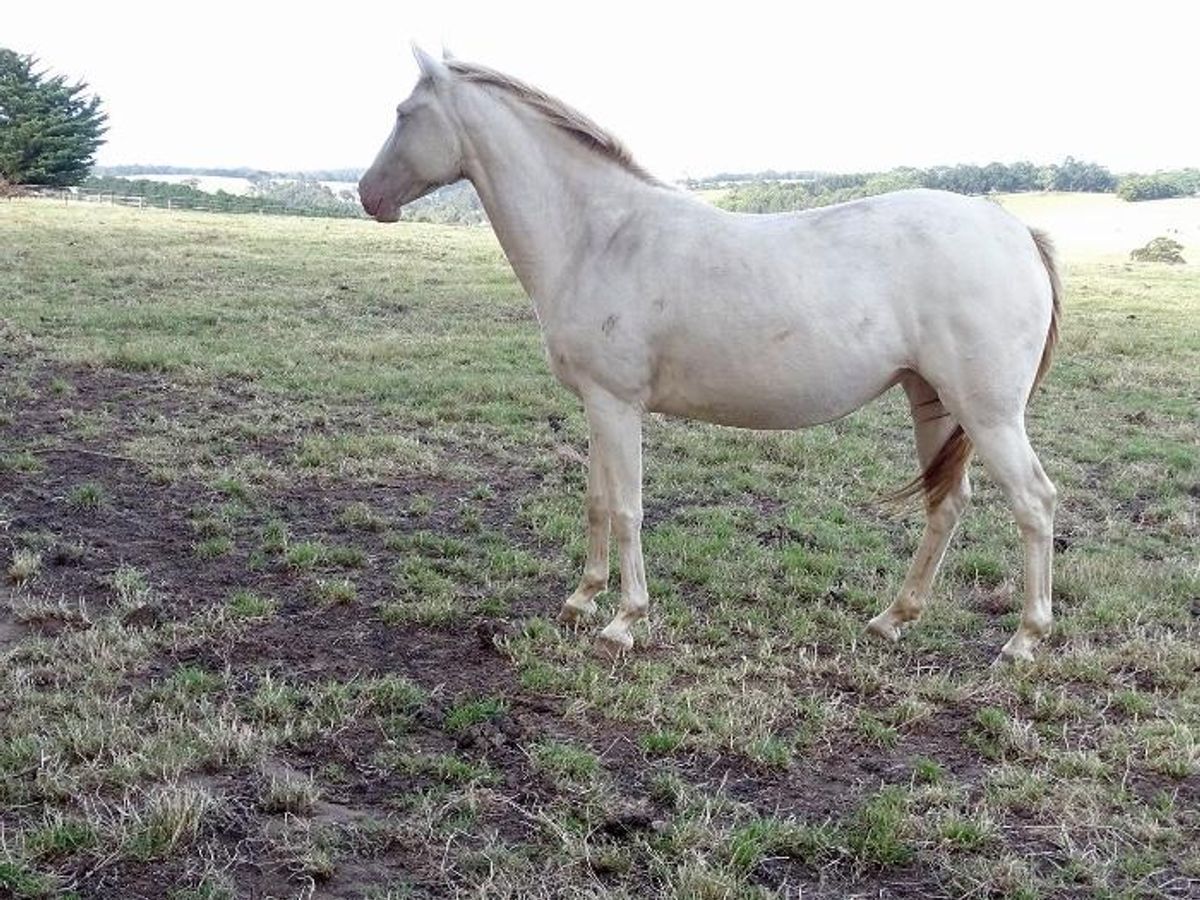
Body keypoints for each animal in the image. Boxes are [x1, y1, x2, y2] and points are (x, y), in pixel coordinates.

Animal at [358, 46, 1062, 663]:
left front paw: (622, 622)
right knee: (947, 503)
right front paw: (580, 601)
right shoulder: (597, 405)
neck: (600, 235)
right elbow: (597, 501)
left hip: (987, 413)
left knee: (1034, 502)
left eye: (403, 112)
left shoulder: (616, 404)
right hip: (932, 401)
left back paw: (1023, 640)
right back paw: (893, 619)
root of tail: (1015, 231)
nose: (368, 195)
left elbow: (627, 508)